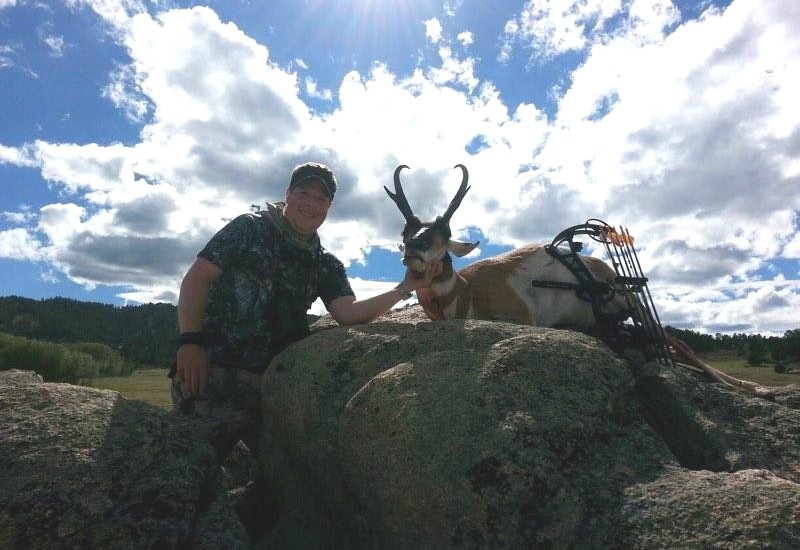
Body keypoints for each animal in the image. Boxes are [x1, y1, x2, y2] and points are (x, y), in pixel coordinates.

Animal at [388, 164, 776, 402]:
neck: (469, 289)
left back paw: (756, 388)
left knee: (678, 343)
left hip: (635, 305)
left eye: (443, 236)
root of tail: (600, 266)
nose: (413, 251)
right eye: (407, 233)